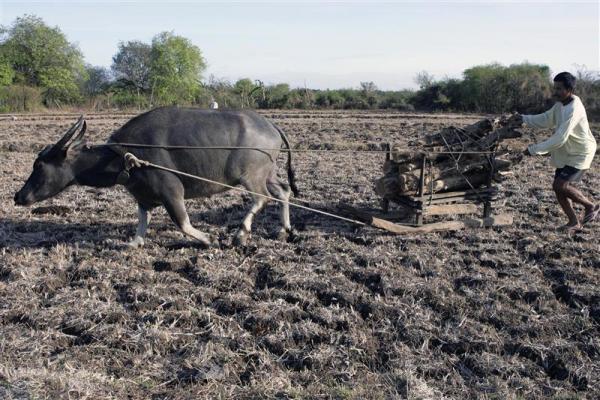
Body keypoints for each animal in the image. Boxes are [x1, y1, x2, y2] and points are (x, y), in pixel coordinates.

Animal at [11, 108, 298, 248]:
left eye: (39, 164)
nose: (18, 196)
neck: (124, 157)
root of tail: (270, 126)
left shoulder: (171, 192)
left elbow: (182, 223)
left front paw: (209, 239)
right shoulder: (144, 196)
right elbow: (141, 224)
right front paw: (133, 243)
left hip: (251, 176)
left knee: (261, 198)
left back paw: (241, 234)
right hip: (268, 173)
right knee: (283, 191)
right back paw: (284, 229)